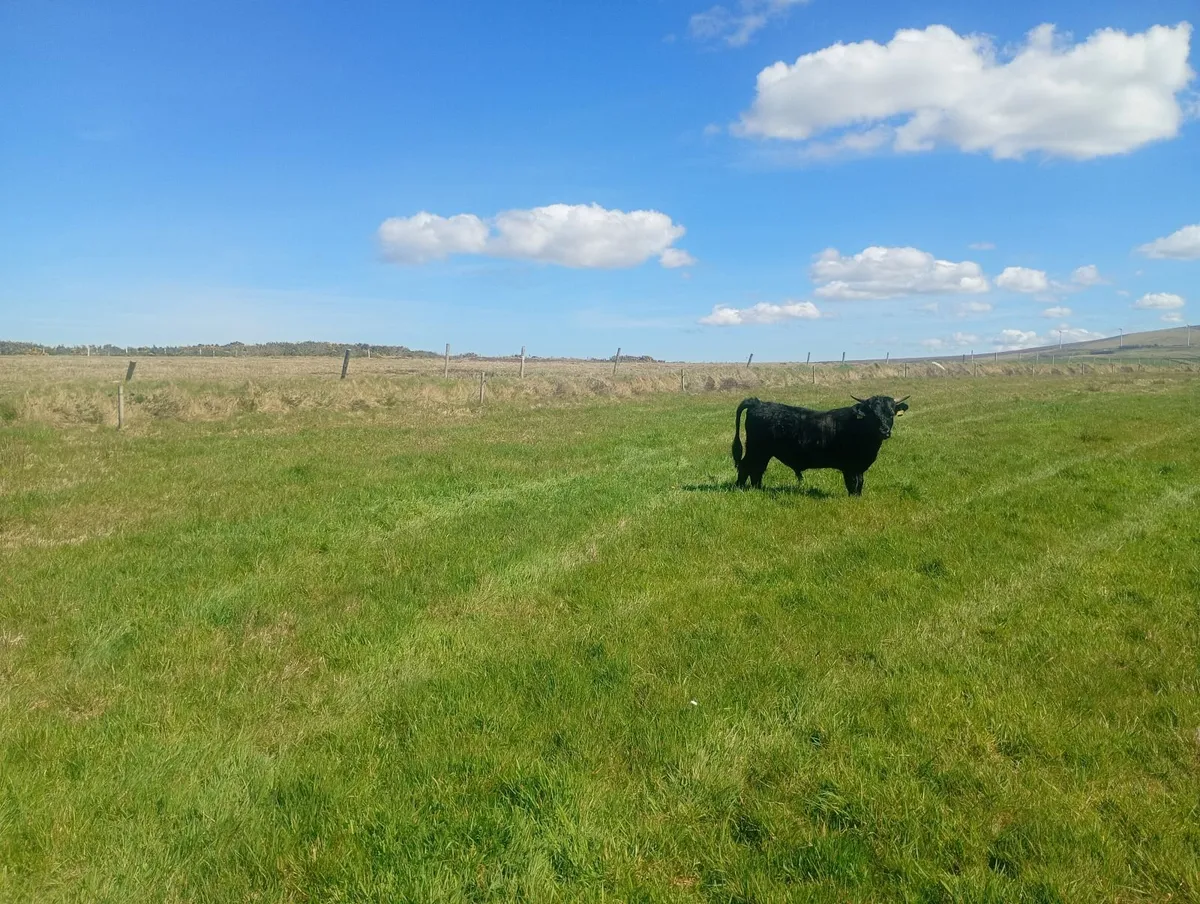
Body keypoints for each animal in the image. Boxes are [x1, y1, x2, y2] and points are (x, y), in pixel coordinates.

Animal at [731, 395, 910, 496]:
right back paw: (740, 488)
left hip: (763, 452)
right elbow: (852, 483)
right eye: (872, 414)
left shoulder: (859, 466)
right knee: (746, 467)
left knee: (757, 470)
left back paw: (758, 489)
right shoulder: (849, 466)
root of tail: (758, 403)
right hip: (756, 449)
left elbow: (860, 482)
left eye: (891, 413)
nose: (884, 431)